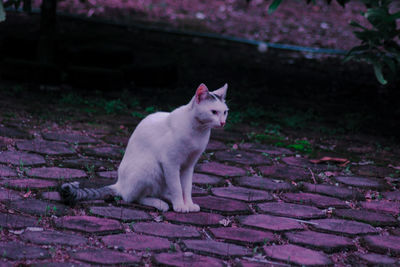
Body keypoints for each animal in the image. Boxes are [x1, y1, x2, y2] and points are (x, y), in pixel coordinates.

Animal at [59, 84, 228, 214]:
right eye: (214, 112)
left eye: (225, 112)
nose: (223, 123)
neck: (198, 131)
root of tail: (119, 184)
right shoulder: (170, 163)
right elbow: (177, 187)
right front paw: (180, 205)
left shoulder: (188, 166)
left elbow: (186, 188)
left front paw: (188, 204)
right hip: (151, 168)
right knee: (133, 197)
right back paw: (161, 203)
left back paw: (167, 198)